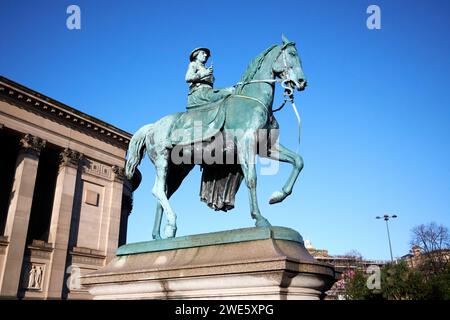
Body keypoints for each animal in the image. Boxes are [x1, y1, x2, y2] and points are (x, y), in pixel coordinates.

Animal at [125, 35, 308, 240]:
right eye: (292, 54)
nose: (302, 81)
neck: (253, 100)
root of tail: (152, 127)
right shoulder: (246, 144)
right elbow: (252, 179)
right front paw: (259, 218)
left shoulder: (266, 147)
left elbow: (298, 161)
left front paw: (277, 196)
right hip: (162, 159)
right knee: (157, 189)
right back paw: (171, 223)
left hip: (179, 168)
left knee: (163, 192)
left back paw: (160, 235)